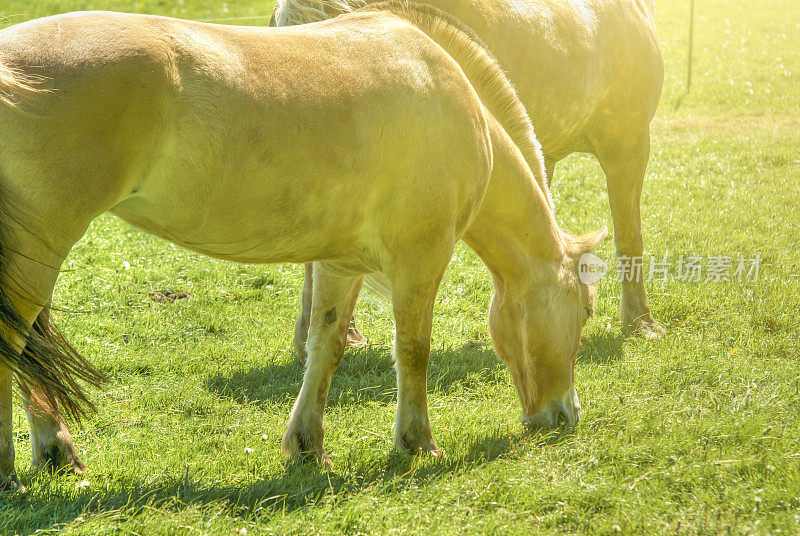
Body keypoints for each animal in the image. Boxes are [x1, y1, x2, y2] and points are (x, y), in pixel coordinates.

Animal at [0, 2, 600, 490]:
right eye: (586, 311)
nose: (564, 415)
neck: (447, 94)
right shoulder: (419, 261)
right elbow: (414, 350)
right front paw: (417, 443)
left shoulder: (340, 264)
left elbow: (324, 346)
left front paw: (308, 446)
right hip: (38, 253)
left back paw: (54, 453)